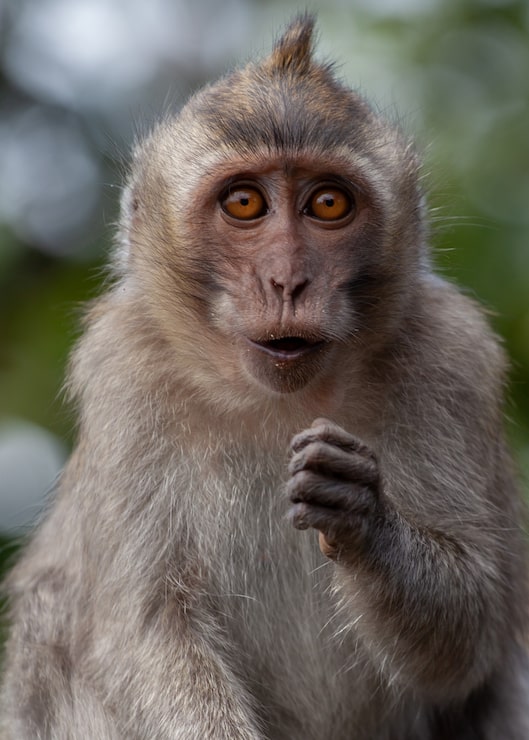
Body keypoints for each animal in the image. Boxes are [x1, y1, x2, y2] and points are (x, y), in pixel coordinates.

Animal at [1, 13, 528, 739]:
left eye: (328, 204)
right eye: (246, 203)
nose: (286, 280)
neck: (279, 400)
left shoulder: (453, 357)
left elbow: (472, 635)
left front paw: (364, 518)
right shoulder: (123, 370)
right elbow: (145, 630)